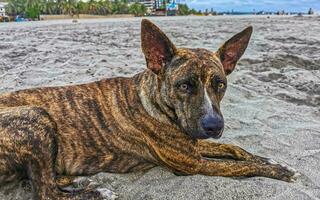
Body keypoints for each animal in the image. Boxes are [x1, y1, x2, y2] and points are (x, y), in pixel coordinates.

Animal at [0, 19, 298, 200]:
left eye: (220, 84)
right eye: (184, 85)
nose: (214, 126)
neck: (156, 102)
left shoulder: (192, 142)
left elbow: (233, 148)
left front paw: (271, 160)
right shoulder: (192, 162)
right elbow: (240, 167)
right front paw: (278, 171)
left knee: (49, 178)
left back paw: (81, 182)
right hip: (35, 116)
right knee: (45, 191)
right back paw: (96, 193)